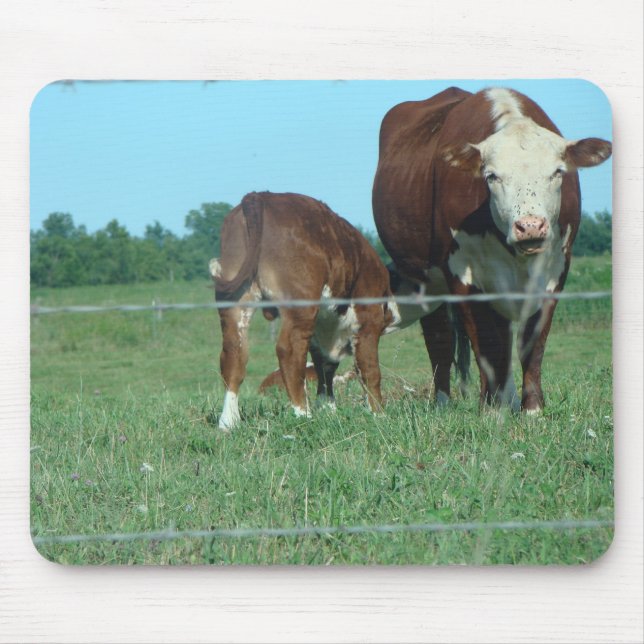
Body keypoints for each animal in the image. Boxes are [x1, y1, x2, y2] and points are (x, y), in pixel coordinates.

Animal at [211, 191, 400, 431]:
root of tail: (261, 196)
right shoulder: (368, 320)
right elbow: (369, 369)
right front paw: (379, 414)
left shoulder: (322, 333)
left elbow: (325, 368)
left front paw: (328, 410)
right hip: (300, 304)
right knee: (289, 352)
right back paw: (302, 414)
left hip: (236, 302)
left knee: (234, 354)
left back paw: (229, 421)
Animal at [372, 86, 612, 412]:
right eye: (492, 176)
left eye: (557, 172)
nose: (530, 226)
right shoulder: (463, 275)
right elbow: (485, 343)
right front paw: (491, 408)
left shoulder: (556, 272)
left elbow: (532, 343)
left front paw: (532, 408)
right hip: (426, 278)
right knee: (440, 340)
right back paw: (445, 402)